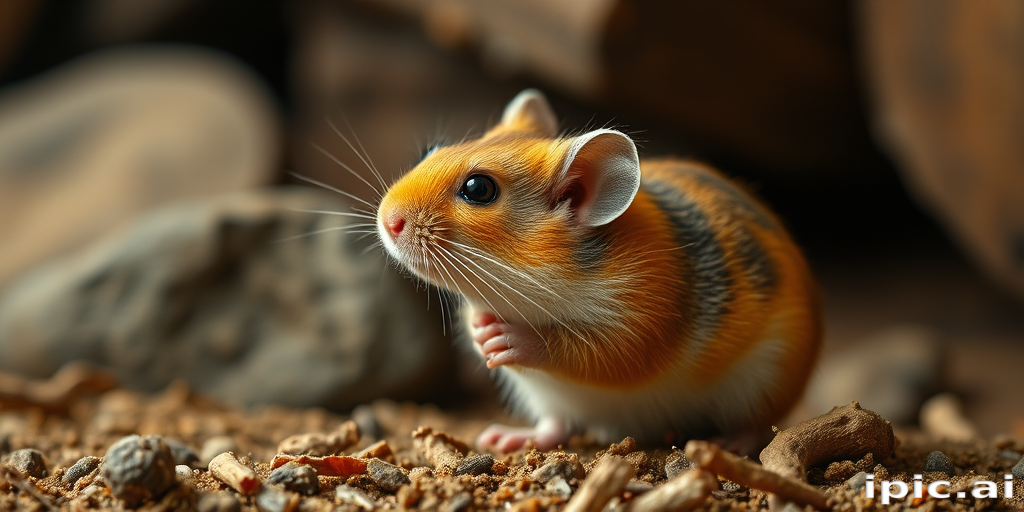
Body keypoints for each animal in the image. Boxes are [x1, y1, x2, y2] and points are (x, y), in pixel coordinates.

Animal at [376, 89, 821, 453]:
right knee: (555, 428)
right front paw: (481, 332)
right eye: (430, 150)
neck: (531, 287)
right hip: (545, 398)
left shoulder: (639, 326)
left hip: (765, 380)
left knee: (756, 426)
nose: (388, 220)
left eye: (478, 189)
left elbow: (580, 350)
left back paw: (729, 443)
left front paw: (508, 338)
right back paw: (508, 438)